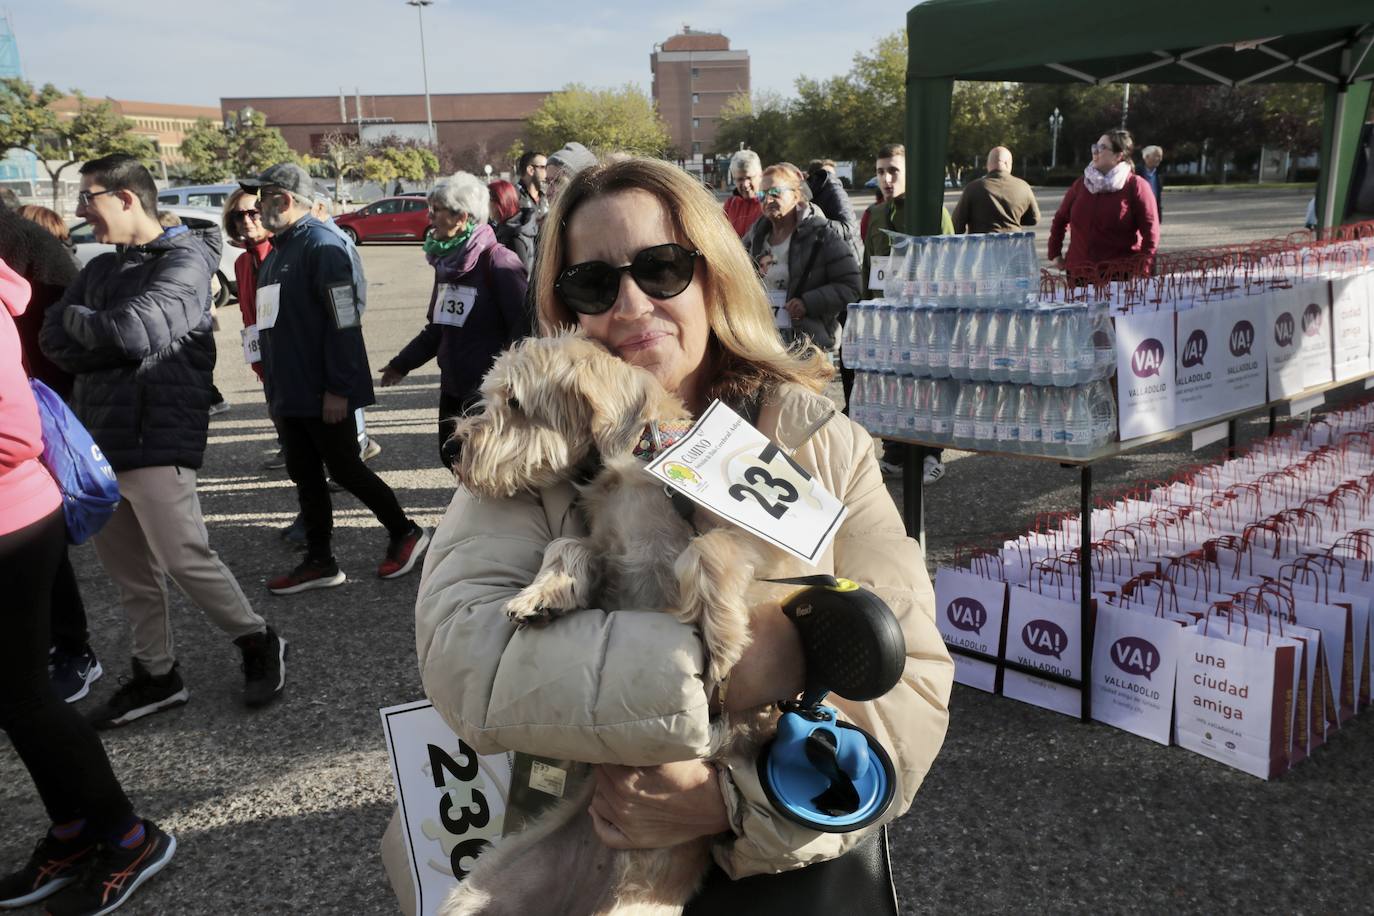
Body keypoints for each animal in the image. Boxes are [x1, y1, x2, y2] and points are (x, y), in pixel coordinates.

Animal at [447, 333, 774, 916]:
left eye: (515, 402)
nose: (452, 450)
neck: (643, 457)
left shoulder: (742, 544)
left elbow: (710, 551)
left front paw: (725, 646)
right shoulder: (605, 558)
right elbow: (567, 545)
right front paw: (543, 595)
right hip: (481, 887)